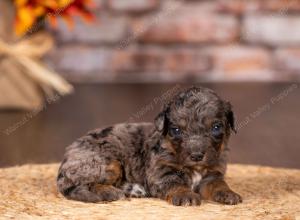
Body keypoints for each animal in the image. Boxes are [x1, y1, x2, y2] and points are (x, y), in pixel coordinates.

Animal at [57, 86, 243, 206]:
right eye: (176, 130)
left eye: (216, 127)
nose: (197, 156)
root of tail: (66, 158)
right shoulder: (160, 172)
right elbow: (174, 183)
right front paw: (186, 195)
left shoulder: (213, 173)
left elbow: (218, 184)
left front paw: (229, 194)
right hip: (105, 163)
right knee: (79, 185)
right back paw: (109, 192)